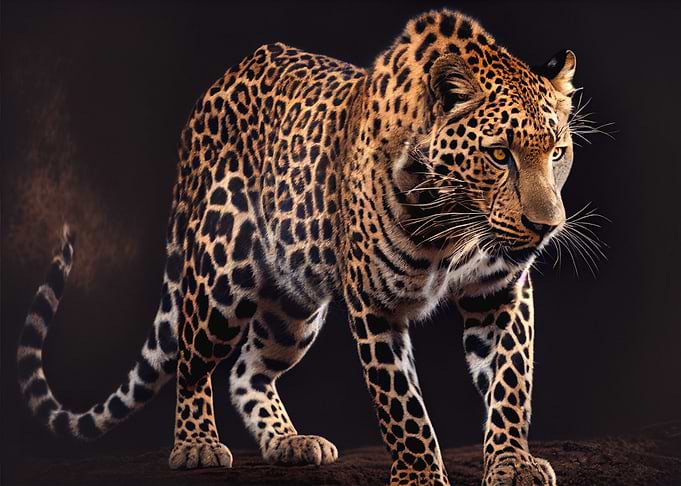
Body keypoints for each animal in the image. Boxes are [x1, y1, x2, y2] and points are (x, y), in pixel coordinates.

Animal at [17, 9, 581, 485]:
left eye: (557, 151)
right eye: (500, 154)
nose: (545, 226)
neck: (453, 224)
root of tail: (205, 101)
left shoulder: (498, 290)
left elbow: (511, 380)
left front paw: (513, 463)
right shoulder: (375, 303)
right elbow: (401, 403)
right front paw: (420, 476)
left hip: (293, 304)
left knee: (246, 370)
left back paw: (290, 442)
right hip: (222, 272)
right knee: (191, 356)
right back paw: (196, 444)